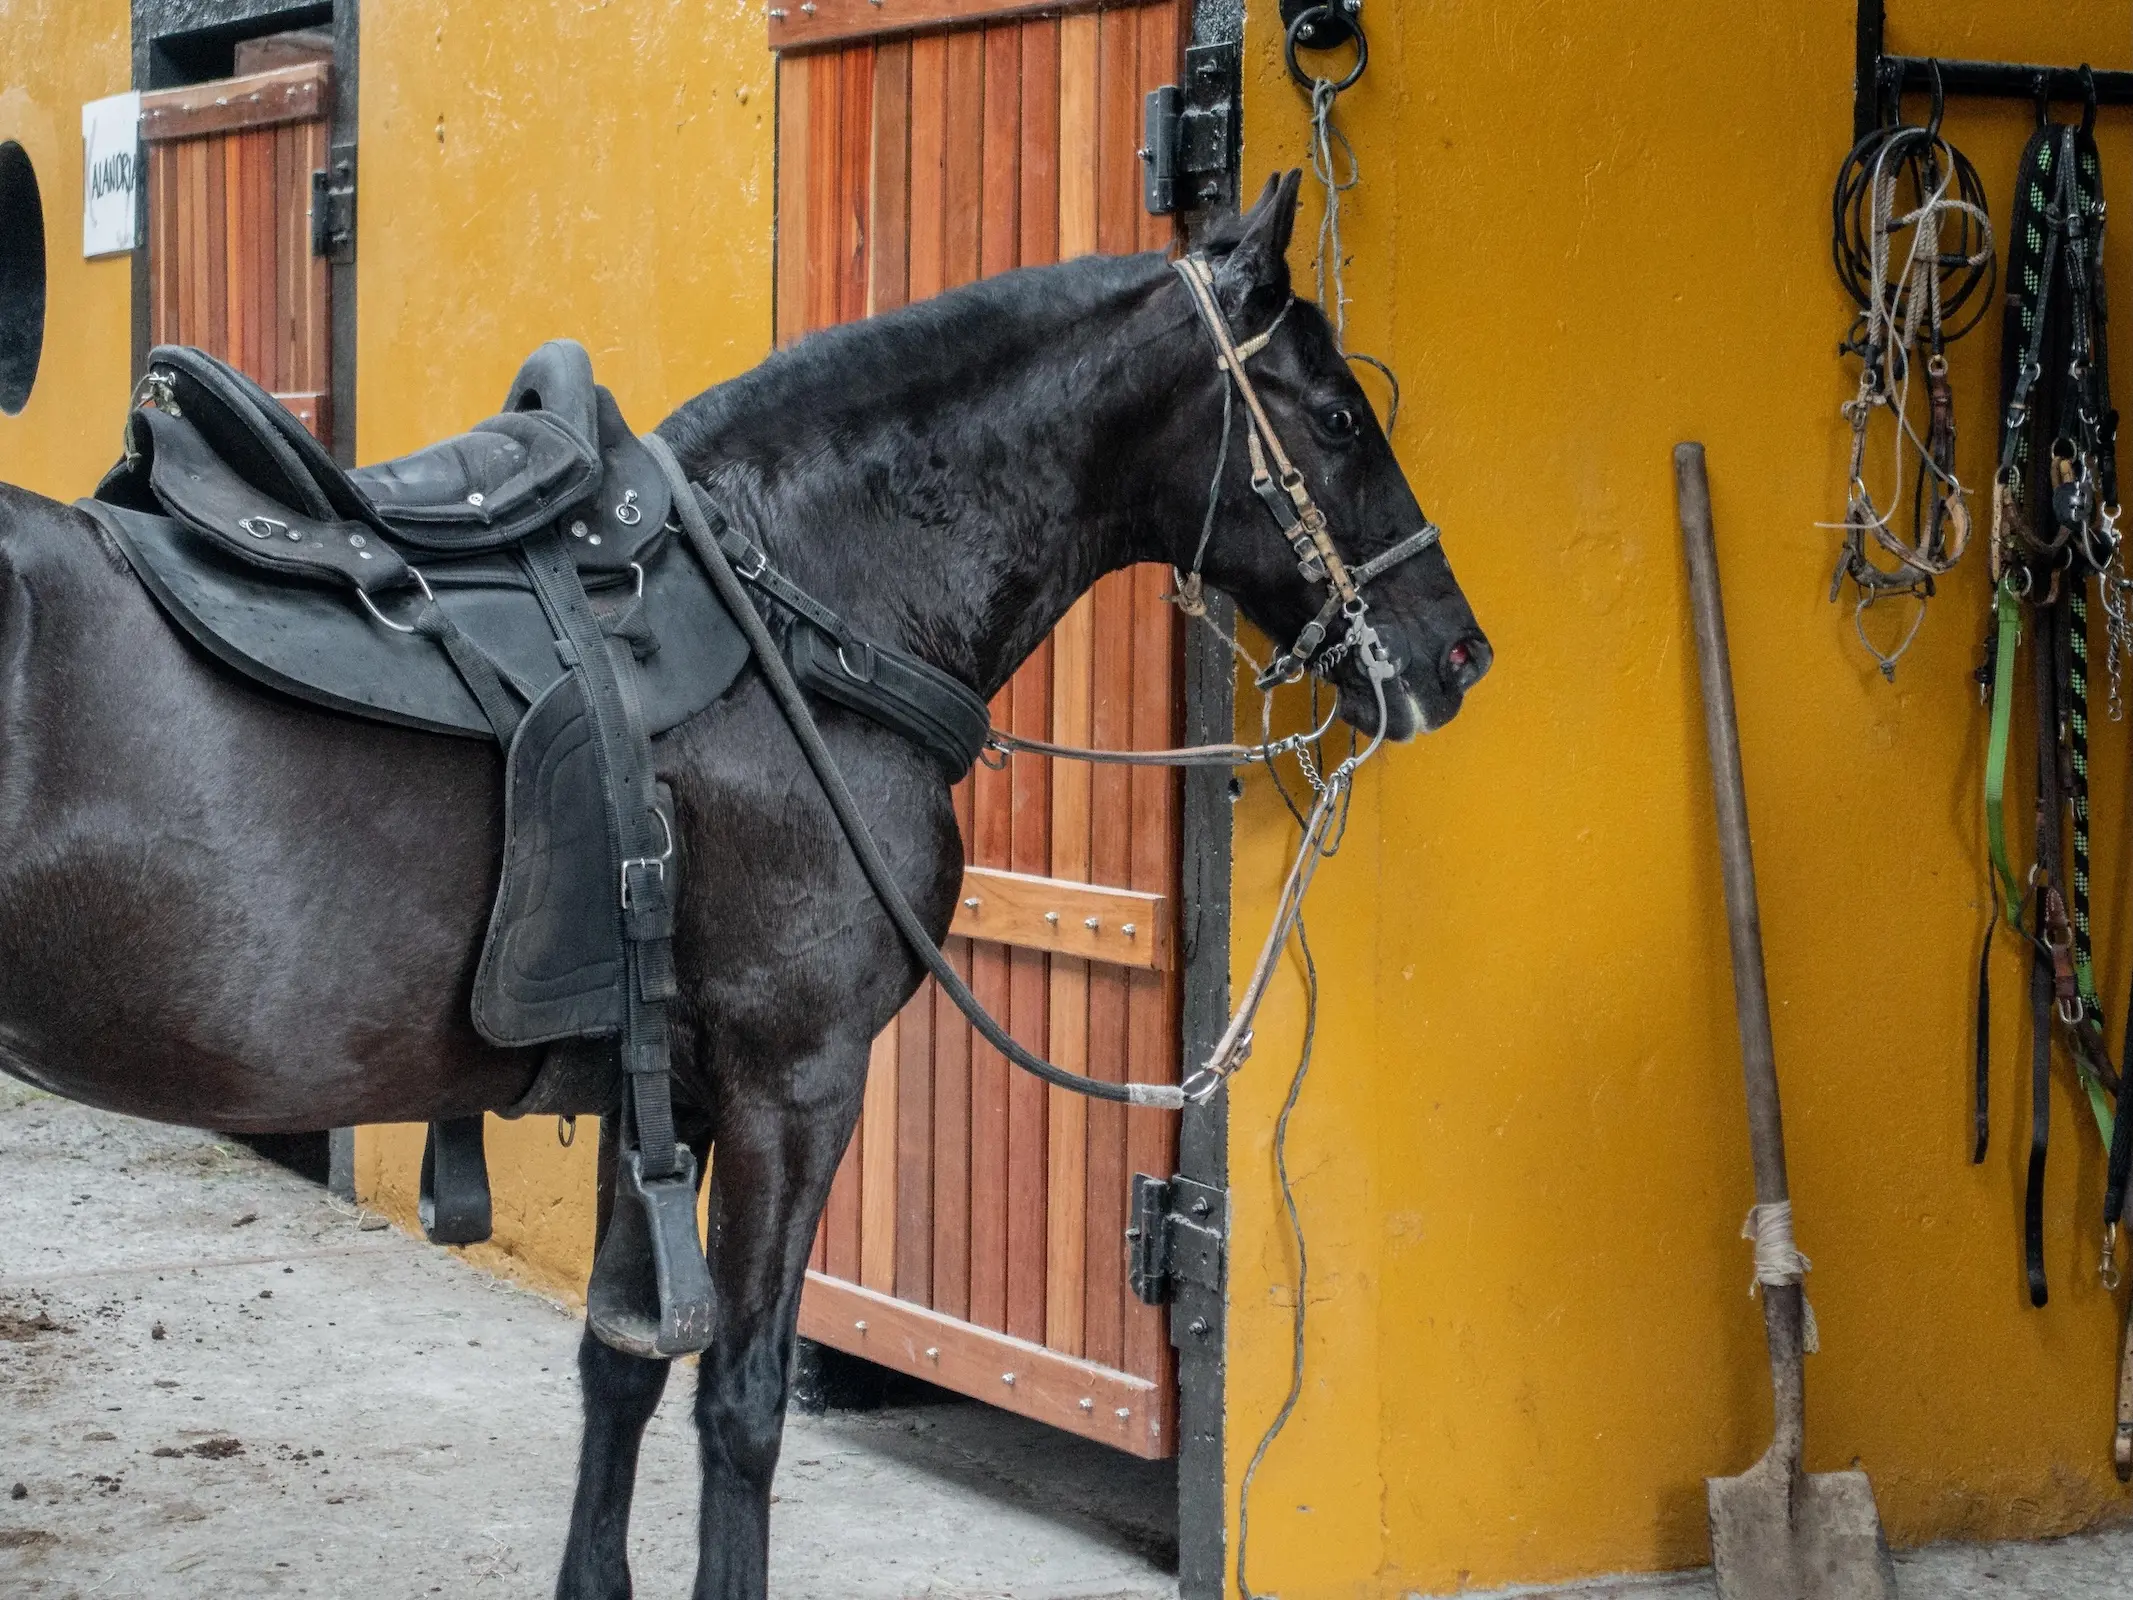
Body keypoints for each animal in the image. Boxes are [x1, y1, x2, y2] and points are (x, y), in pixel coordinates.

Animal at [0, 173, 1488, 1599]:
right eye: (1340, 416)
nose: (1457, 653)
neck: (806, 614)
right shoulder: (797, 1079)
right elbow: (743, 1397)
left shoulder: (657, 1086)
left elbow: (620, 1364)